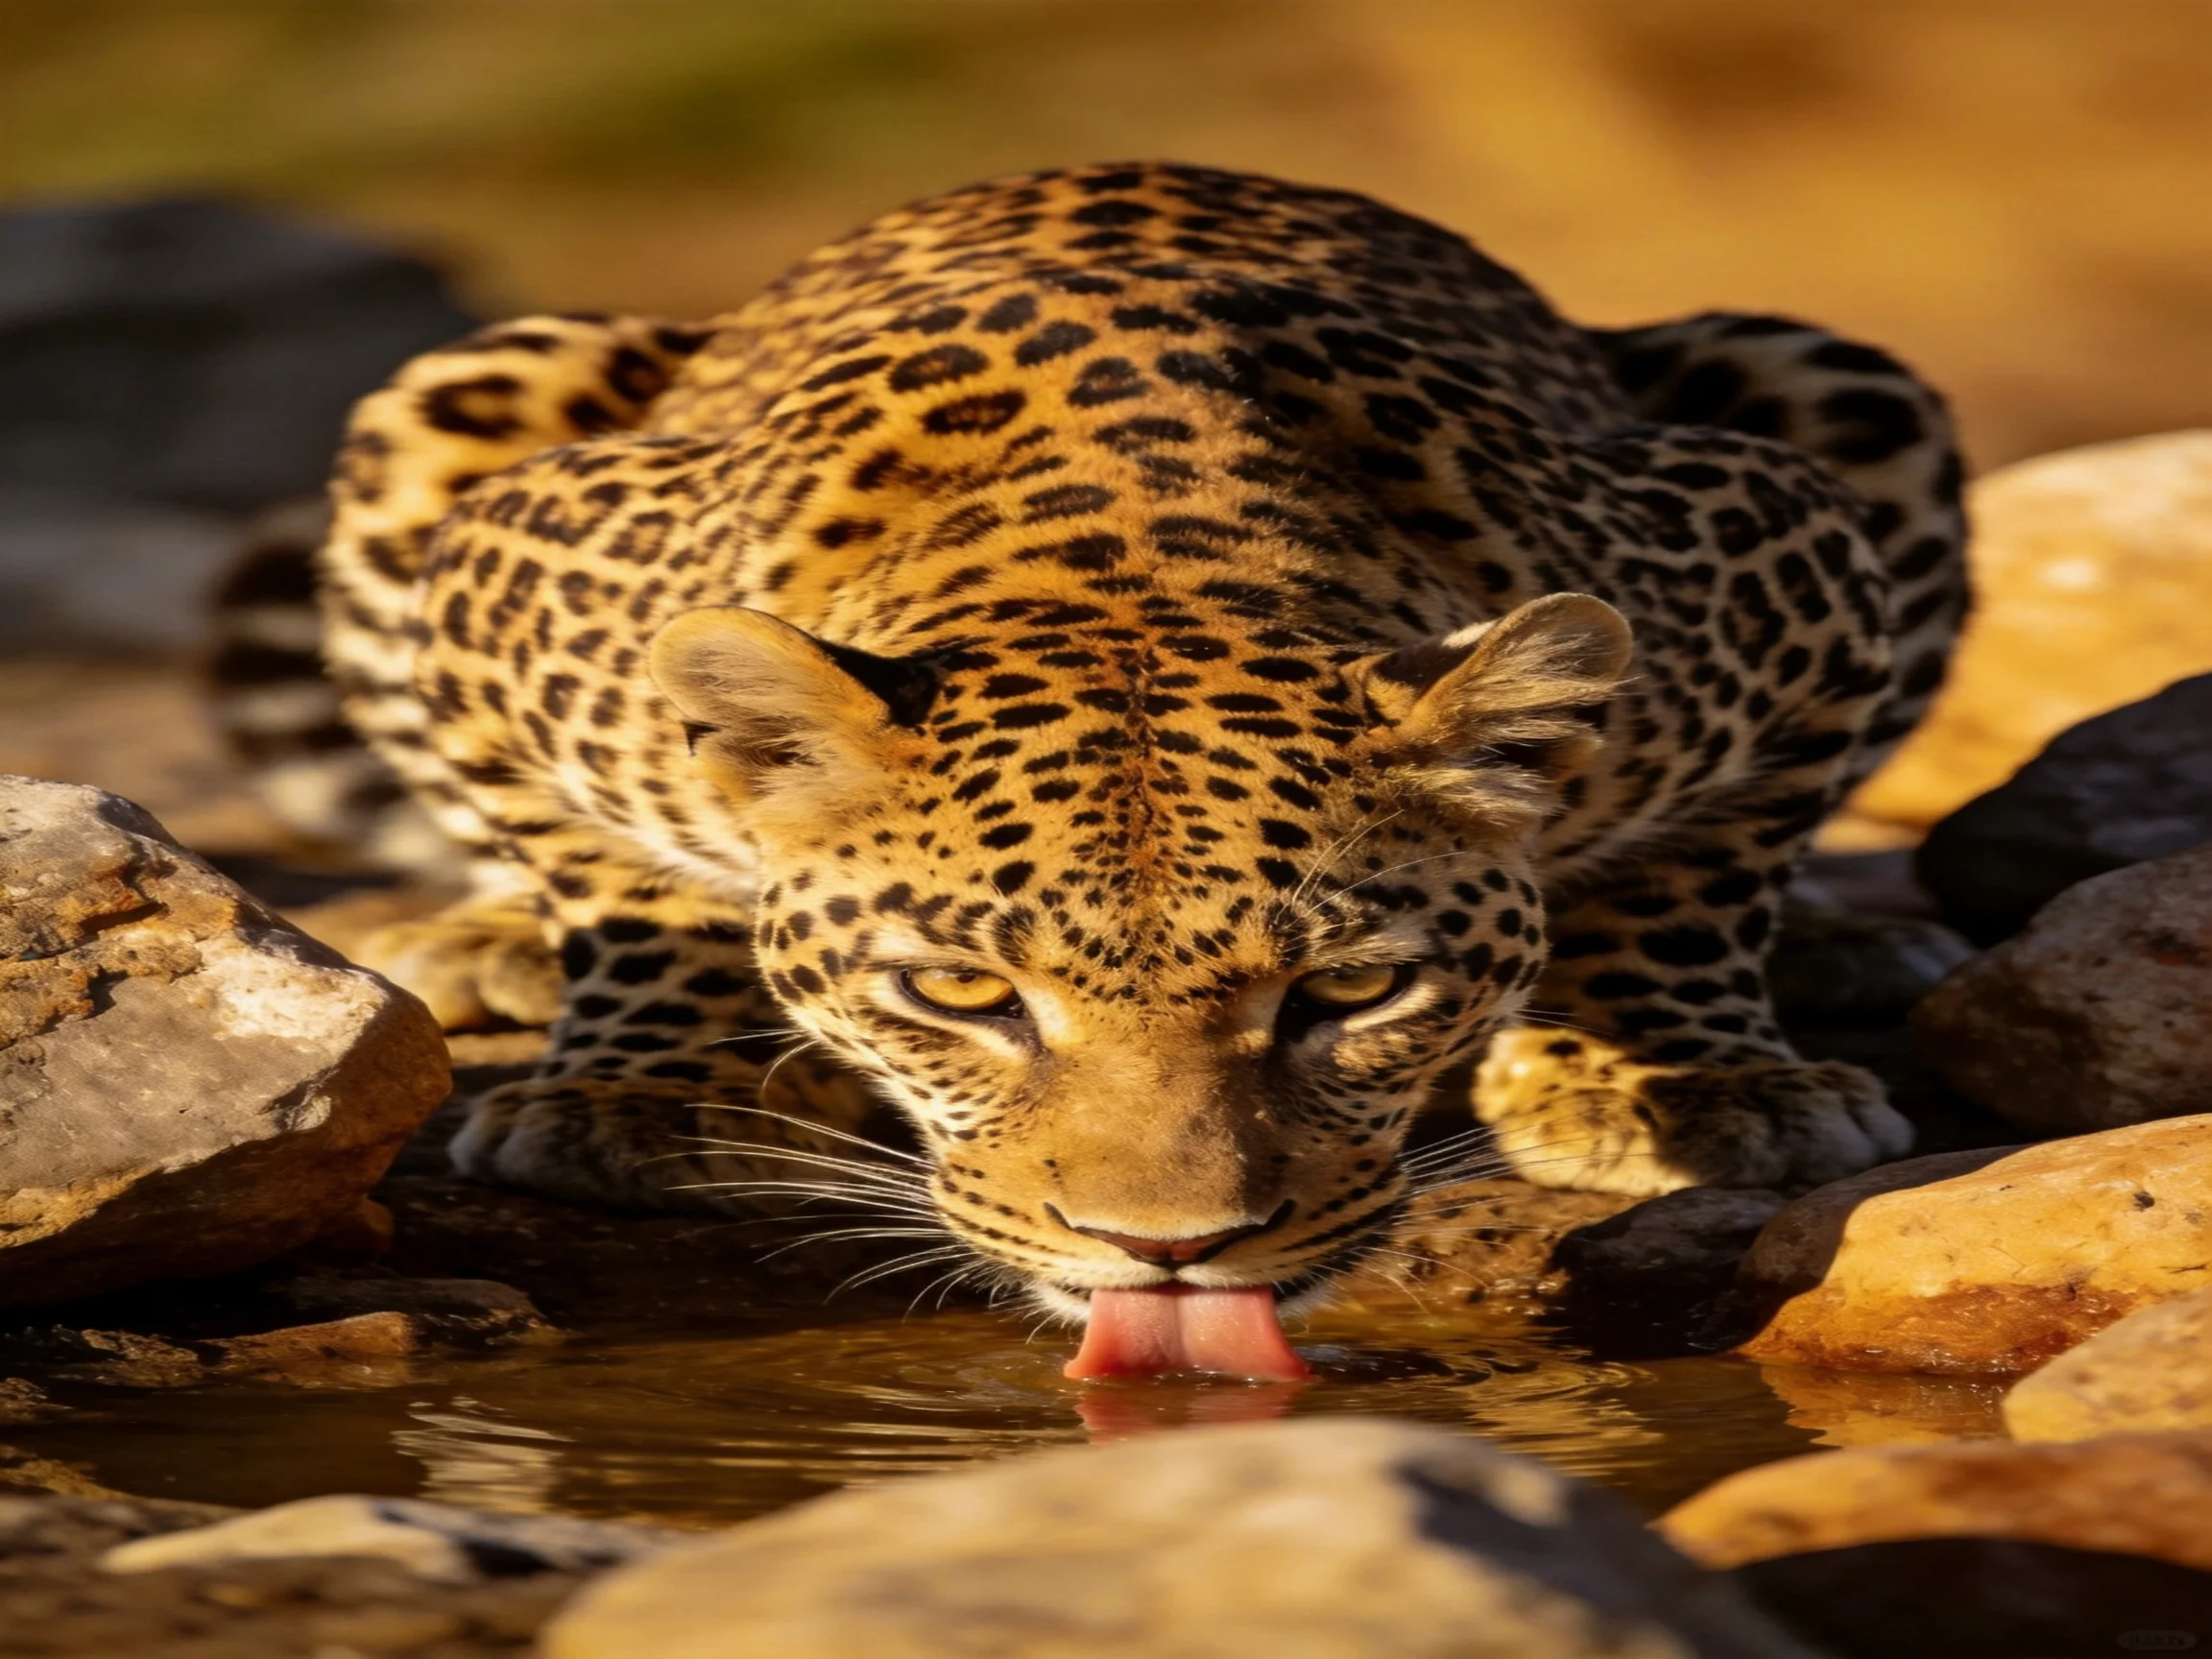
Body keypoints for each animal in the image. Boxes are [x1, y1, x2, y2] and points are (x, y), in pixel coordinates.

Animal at [310, 161, 1966, 1321]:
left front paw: (1686, 1077)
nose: (1167, 1253)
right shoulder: (502, 573)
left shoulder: (1785, 550)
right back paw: (488, 942)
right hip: (461, 391)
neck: (1131, 560)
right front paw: (642, 1094)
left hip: (1827, 375)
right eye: (958, 994)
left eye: (1351, 991)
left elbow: (1697, 873)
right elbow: (619, 879)